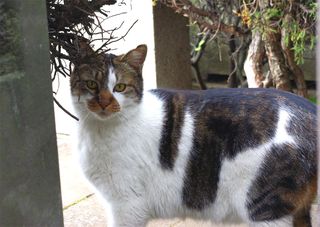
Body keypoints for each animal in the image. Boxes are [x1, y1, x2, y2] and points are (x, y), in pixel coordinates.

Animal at [70, 44, 318, 227]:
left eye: (120, 87)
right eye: (91, 84)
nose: (104, 102)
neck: (99, 130)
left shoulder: (126, 205)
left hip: (265, 206)